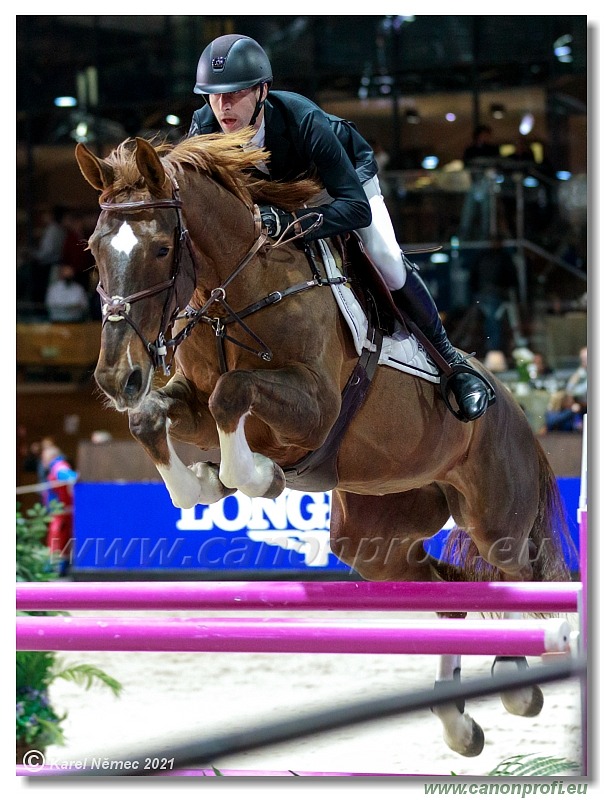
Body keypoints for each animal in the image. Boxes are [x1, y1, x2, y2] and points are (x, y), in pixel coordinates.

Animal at [75, 131, 572, 756]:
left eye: (162, 249)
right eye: (95, 250)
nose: (117, 378)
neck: (236, 294)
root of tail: (515, 404)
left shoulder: (313, 407)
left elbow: (233, 397)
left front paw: (255, 478)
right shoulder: (191, 404)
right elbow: (151, 421)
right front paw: (206, 485)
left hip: (496, 516)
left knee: (515, 578)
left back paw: (517, 681)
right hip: (374, 537)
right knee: (452, 592)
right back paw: (460, 722)